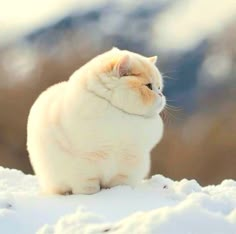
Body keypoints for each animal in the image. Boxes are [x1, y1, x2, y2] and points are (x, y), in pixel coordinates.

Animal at [26, 47, 165, 194]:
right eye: (149, 86)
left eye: (159, 87)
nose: (161, 95)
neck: (118, 112)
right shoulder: (84, 165)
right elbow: (87, 185)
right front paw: (91, 195)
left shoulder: (129, 165)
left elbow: (120, 182)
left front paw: (119, 192)